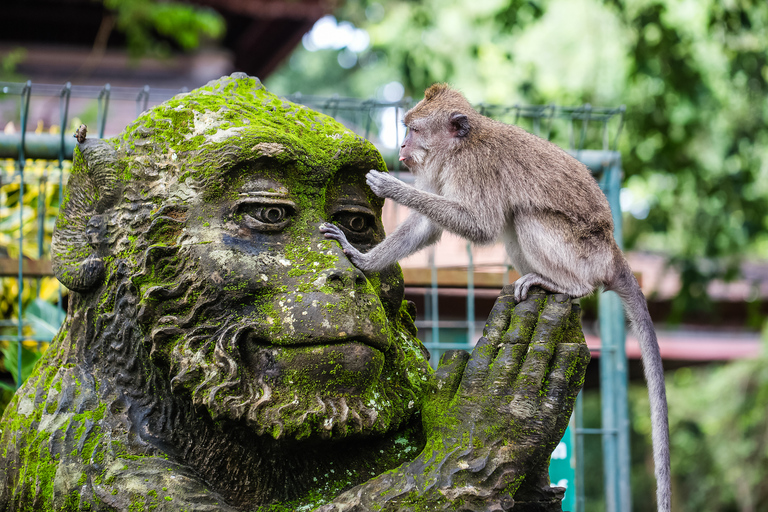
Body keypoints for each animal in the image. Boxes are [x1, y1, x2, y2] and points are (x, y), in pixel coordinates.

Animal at [320, 83, 668, 512]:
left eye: (414, 129)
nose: (401, 145)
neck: (460, 147)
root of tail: (613, 252)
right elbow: (429, 227)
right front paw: (362, 259)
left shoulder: (473, 169)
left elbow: (481, 225)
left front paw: (391, 186)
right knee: (512, 220)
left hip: (583, 254)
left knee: (523, 217)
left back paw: (566, 286)